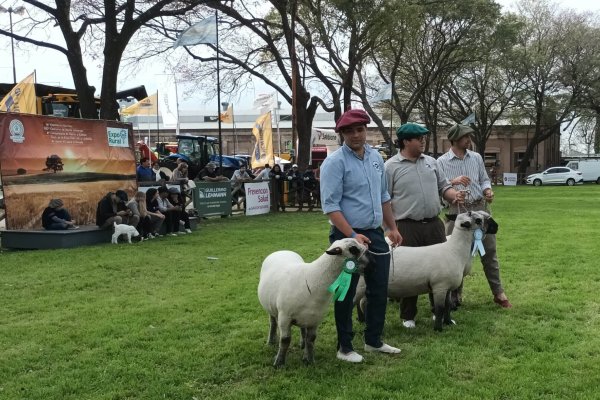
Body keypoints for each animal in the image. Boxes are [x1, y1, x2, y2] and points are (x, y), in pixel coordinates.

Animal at [258, 239, 368, 368]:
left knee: (302, 329)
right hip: (272, 308)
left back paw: (302, 344)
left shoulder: (315, 319)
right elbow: (285, 340)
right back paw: (271, 341)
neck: (311, 279)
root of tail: (281, 250)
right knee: (273, 323)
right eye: (353, 249)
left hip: (305, 316)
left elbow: (310, 340)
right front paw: (279, 363)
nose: (372, 263)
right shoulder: (285, 317)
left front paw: (309, 360)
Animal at [356, 211, 488, 332]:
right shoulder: (440, 286)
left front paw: (448, 322)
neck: (455, 250)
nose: (490, 222)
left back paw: (365, 321)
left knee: (363, 303)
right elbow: (440, 308)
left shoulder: (447, 287)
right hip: (361, 285)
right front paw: (438, 329)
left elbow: (447, 306)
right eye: (478, 220)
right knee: (359, 302)